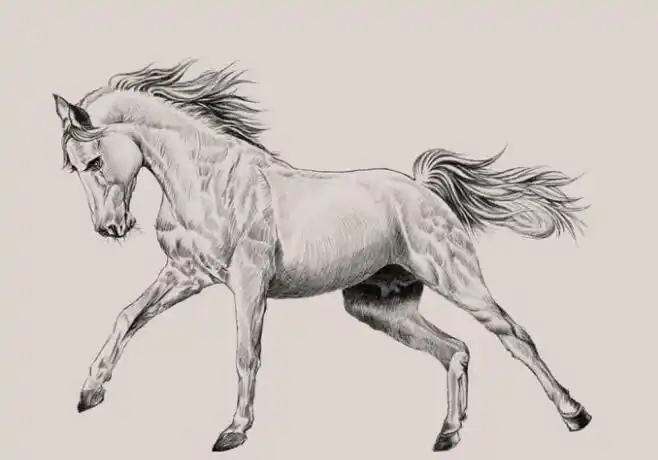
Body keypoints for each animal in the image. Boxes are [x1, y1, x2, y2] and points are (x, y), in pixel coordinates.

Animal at [53, 59, 591, 453]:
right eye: (73, 168)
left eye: (95, 161)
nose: (110, 228)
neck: (209, 183)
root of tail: (425, 189)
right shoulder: (186, 273)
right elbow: (128, 317)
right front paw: (89, 392)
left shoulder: (248, 282)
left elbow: (246, 353)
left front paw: (234, 431)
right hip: (379, 307)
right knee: (456, 349)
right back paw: (448, 433)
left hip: (457, 281)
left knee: (515, 338)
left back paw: (574, 414)